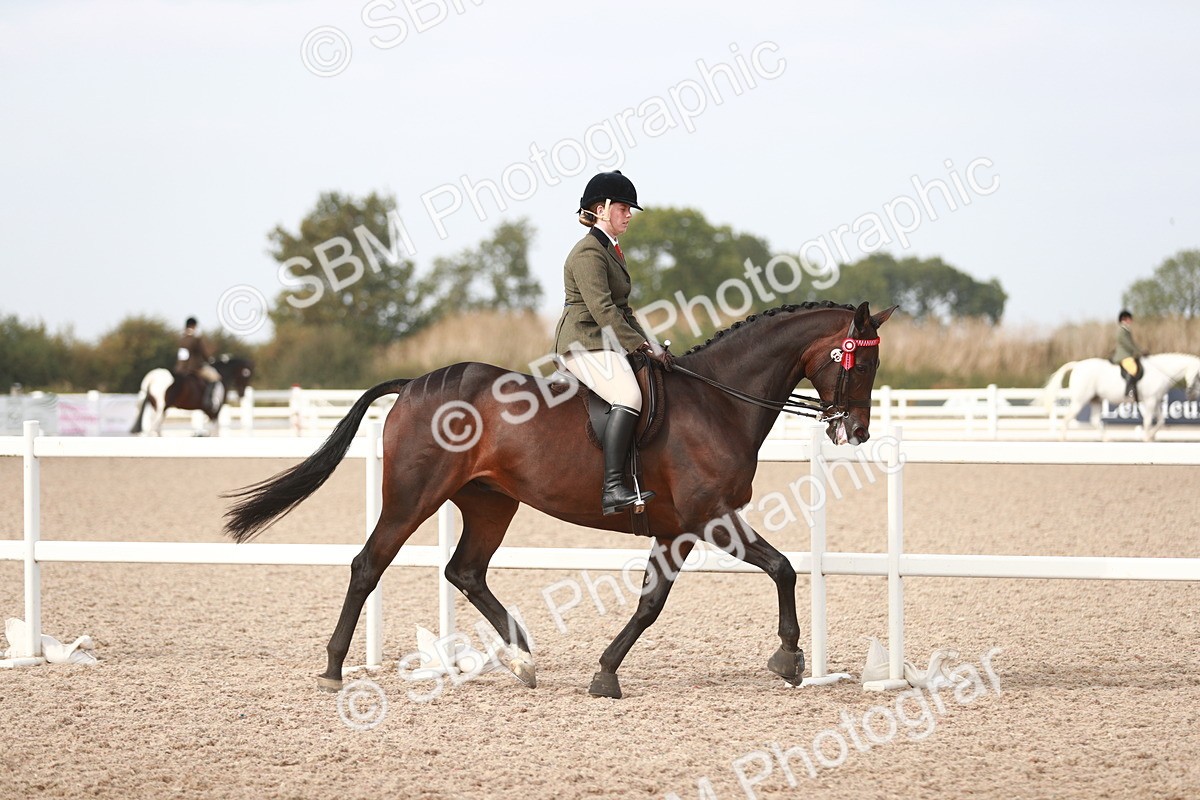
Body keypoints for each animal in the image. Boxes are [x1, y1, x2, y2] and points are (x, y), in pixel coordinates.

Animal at [224, 301, 897, 698]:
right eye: (861, 365)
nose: (857, 431)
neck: (720, 400)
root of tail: (415, 382)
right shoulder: (712, 519)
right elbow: (781, 567)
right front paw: (789, 657)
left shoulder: (676, 529)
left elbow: (651, 603)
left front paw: (605, 673)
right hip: (414, 496)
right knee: (369, 564)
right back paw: (334, 669)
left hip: (490, 503)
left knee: (465, 571)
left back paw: (522, 661)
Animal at [1044, 353, 1200, 441]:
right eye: (1198, 375)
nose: (1192, 395)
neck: (1161, 371)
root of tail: (1077, 365)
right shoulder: (1150, 400)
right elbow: (1148, 421)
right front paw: (1146, 437)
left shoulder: (1155, 400)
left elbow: (1161, 421)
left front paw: (1151, 437)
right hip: (1080, 400)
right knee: (1067, 418)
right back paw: (1063, 439)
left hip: (1096, 400)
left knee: (1094, 421)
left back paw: (1108, 439)